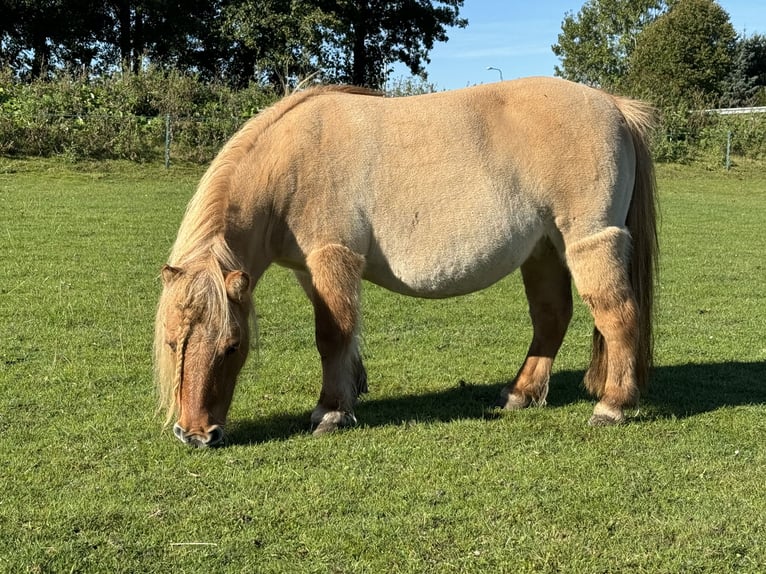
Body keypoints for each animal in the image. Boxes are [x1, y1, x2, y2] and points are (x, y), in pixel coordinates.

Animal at [156, 77, 660, 450]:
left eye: (233, 346)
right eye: (172, 342)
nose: (195, 434)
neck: (292, 162)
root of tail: (614, 105)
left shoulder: (332, 257)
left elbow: (331, 335)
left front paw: (331, 411)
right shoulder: (309, 270)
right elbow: (343, 333)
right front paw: (352, 389)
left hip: (588, 243)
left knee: (618, 317)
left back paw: (612, 405)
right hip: (544, 251)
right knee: (551, 319)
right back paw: (520, 393)